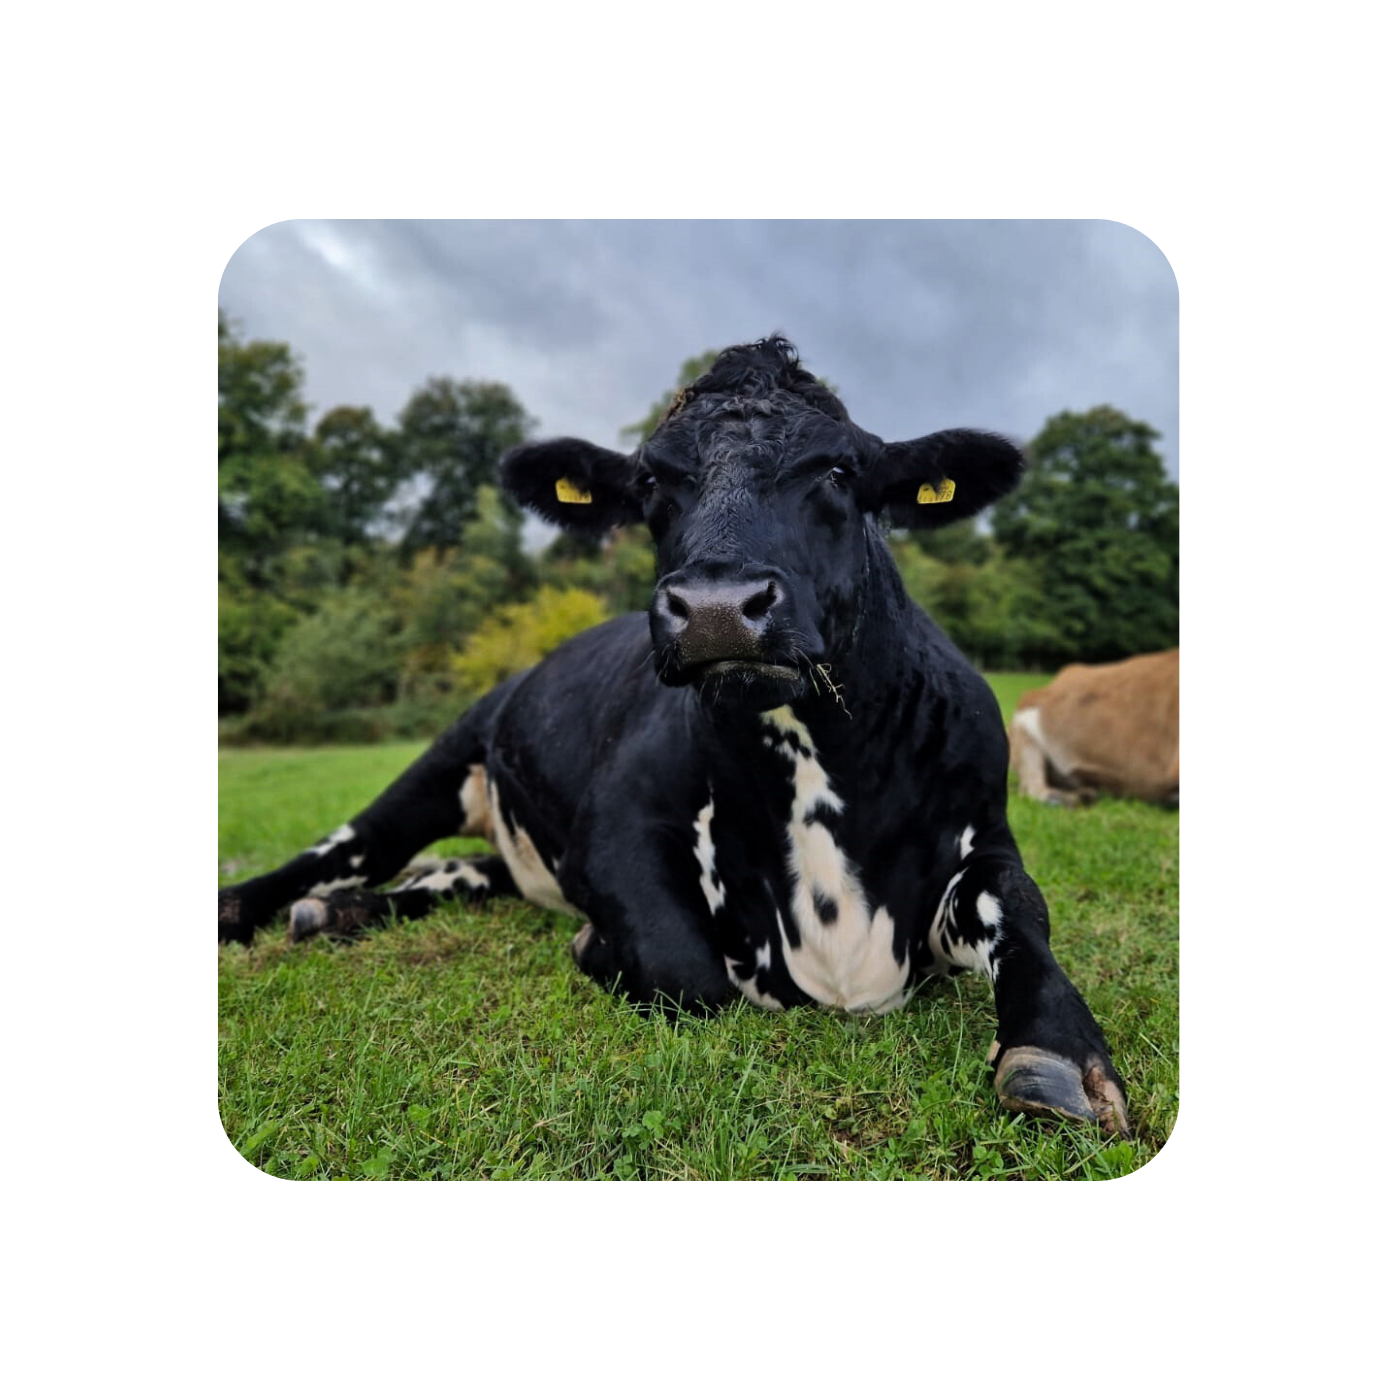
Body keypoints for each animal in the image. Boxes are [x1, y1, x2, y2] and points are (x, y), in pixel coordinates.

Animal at [218, 337, 1128, 1136]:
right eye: (653, 478)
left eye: (840, 470)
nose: (718, 607)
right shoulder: (614, 833)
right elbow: (687, 974)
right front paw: (598, 949)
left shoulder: (984, 824)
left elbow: (1019, 903)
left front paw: (1054, 1050)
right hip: (448, 755)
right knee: (344, 849)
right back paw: (275, 905)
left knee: (462, 873)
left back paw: (345, 911)